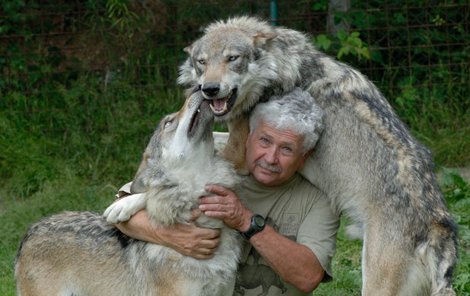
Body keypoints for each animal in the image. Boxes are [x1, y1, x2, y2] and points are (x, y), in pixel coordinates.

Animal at [178, 16, 458, 296]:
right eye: (202, 62)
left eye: (232, 58)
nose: (210, 89)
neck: (278, 66)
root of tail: (439, 228)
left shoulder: (238, 154)